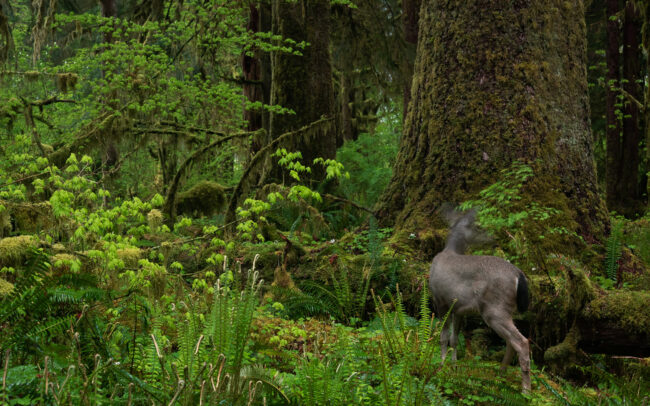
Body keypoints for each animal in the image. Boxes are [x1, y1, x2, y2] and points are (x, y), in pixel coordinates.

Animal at [428, 208, 528, 392]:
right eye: (479, 226)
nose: (494, 238)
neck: (449, 251)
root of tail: (519, 275)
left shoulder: (440, 300)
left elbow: (443, 337)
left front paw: (442, 366)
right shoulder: (458, 308)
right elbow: (454, 339)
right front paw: (454, 366)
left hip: (494, 310)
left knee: (522, 342)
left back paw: (526, 390)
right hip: (505, 310)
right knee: (511, 342)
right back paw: (500, 376)